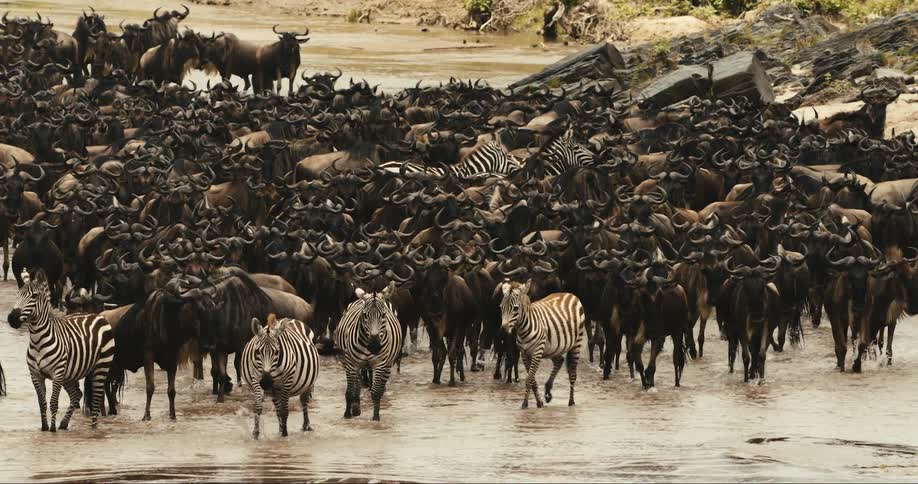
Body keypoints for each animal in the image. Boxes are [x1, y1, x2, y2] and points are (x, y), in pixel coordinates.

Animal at [7, 269, 115, 431]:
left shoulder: (57, 374)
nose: (12, 318)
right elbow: (42, 403)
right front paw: (44, 428)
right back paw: (64, 424)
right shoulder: (35, 375)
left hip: (101, 366)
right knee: (77, 395)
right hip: (70, 373)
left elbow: (53, 403)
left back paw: (93, 428)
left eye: (34, 296)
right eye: (18, 294)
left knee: (96, 399)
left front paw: (52, 430)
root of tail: (96, 315)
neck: (37, 341)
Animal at [334, 281, 402, 421]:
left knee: (377, 385)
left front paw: (376, 417)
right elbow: (350, 390)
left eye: (383, 315)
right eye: (364, 315)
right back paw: (355, 407)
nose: (374, 346)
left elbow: (376, 392)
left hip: (387, 364)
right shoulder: (351, 363)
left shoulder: (380, 364)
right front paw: (347, 414)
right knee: (356, 383)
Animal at [499, 280, 585, 409]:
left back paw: (571, 402)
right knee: (559, 361)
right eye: (501, 307)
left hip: (576, 343)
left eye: (515, 308)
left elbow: (529, 379)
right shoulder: (525, 354)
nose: (503, 332)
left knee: (573, 374)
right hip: (554, 347)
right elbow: (532, 379)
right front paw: (539, 402)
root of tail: (570, 294)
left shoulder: (537, 351)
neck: (523, 329)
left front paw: (524, 403)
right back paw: (548, 391)